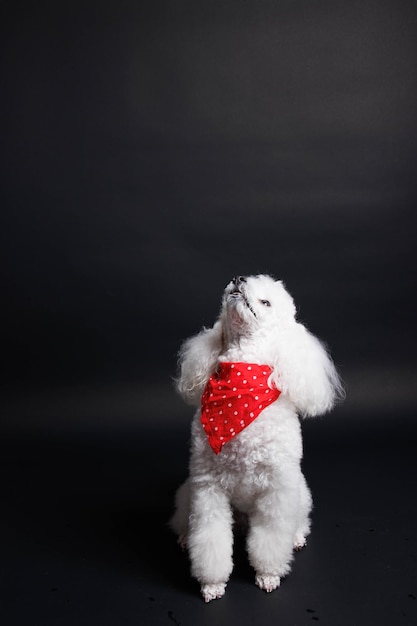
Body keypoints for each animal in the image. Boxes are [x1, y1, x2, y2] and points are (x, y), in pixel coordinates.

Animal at [168, 272, 342, 600]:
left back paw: (296, 537)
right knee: (184, 518)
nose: (238, 279)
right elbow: (209, 539)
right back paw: (184, 536)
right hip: (188, 492)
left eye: (266, 302)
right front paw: (211, 583)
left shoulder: (277, 489)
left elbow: (272, 538)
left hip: (300, 492)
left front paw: (268, 574)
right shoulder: (207, 489)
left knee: (298, 520)